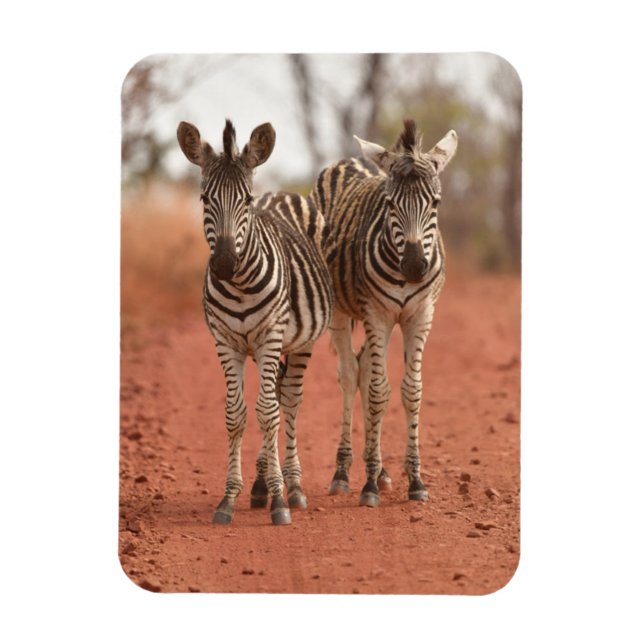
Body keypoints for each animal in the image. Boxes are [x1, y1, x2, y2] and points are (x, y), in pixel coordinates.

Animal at [177, 119, 333, 525]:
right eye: (205, 199)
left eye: (246, 200)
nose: (224, 264)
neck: (241, 284)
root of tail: (280, 193)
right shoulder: (225, 341)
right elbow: (236, 415)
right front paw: (230, 497)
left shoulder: (269, 337)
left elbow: (267, 413)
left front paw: (280, 499)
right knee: (276, 398)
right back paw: (262, 484)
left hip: (299, 342)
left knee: (288, 401)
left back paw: (291, 486)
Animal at [312, 119, 458, 507]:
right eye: (390, 203)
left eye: (436, 202)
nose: (414, 266)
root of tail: (349, 160)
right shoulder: (376, 313)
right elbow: (379, 391)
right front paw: (369, 486)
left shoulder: (420, 314)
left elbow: (411, 391)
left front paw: (414, 479)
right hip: (341, 312)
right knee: (351, 375)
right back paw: (344, 472)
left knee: (363, 368)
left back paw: (379, 469)